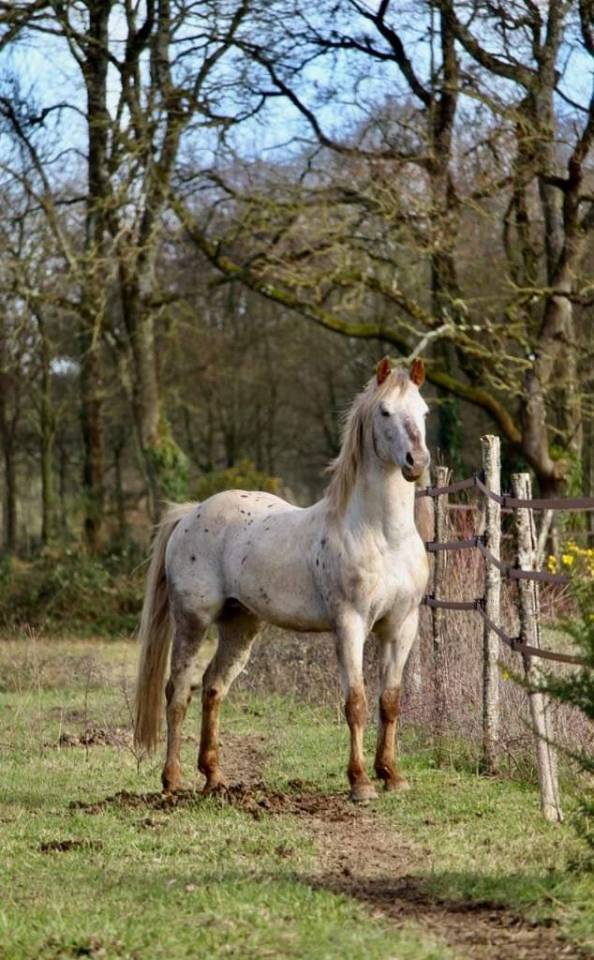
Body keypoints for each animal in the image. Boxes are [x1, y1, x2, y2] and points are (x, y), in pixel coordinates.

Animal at [134, 356, 431, 802]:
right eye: (385, 412)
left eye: (424, 411)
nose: (417, 461)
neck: (383, 535)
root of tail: (191, 513)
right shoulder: (350, 625)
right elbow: (356, 703)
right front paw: (360, 782)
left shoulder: (401, 626)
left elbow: (390, 701)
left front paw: (392, 775)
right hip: (192, 622)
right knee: (178, 692)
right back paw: (171, 781)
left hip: (240, 626)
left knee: (212, 688)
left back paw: (214, 778)